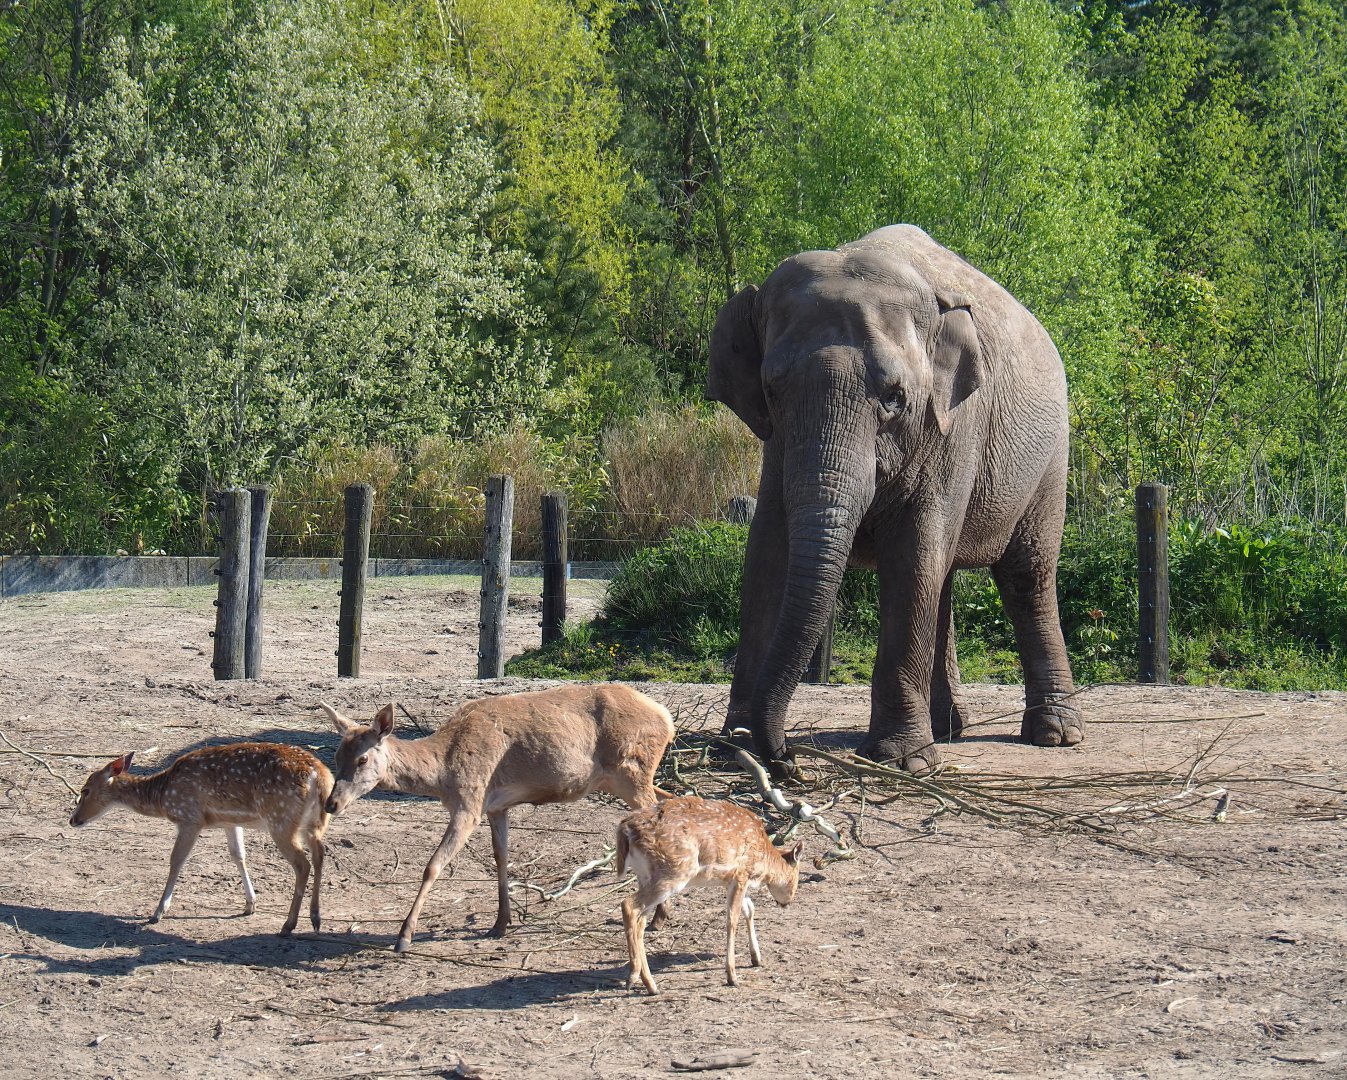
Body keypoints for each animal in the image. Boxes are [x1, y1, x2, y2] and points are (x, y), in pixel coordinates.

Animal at [69, 743, 332, 936]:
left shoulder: (190, 818)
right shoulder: (229, 821)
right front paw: (250, 905)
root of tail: (319, 776)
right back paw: (315, 918)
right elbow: (238, 855)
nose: (73, 820)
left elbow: (176, 860)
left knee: (303, 864)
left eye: (85, 790)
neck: (162, 796)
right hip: (314, 821)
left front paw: (157, 912)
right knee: (320, 854)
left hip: (280, 818)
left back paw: (289, 925)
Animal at [321, 683, 676, 953]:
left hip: (631, 771)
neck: (443, 772)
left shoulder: (469, 804)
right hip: (632, 779)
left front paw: (403, 936)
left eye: (363, 758)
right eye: (335, 755)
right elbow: (501, 857)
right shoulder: (496, 806)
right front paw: (500, 923)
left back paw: (659, 916)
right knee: (670, 800)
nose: (331, 803)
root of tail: (667, 717)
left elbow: (433, 866)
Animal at [616, 795, 802, 995]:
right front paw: (732, 976)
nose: (788, 901)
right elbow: (732, 919)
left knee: (641, 920)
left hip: (644, 875)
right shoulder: (741, 874)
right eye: (797, 875)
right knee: (628, 905)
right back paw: (633, 976)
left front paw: (756, 959)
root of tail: (625, 829)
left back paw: (650, 985)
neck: (762, 861)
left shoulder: (731, 881)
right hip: (673, 872)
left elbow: (749, 909)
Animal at [706, 224, 1084, 776]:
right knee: (944, 578)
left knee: (1024, 575)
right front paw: (732, 748)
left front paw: (904, 762)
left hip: (1051, 457)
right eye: (772, 392)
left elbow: (912, 556)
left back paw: (1055, 736)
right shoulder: (776, 448)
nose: (786, 759)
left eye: (894, 398)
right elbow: (769, 553)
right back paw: (948, 730)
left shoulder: (953, 425)